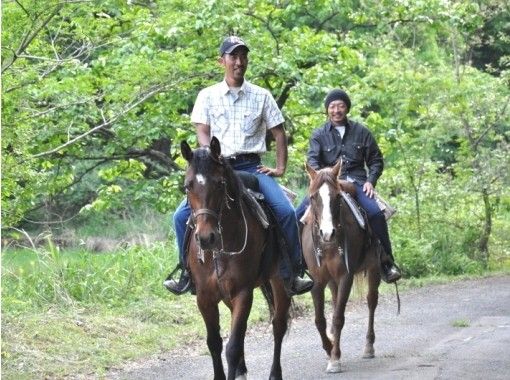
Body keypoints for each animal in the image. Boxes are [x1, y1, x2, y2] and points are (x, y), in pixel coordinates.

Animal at [180, 137, 290, 380]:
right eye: (188, 185)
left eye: (220, 183)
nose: (206, 238)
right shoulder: (204, 297)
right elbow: (214, 343)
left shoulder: (243, 293)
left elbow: (233, 347)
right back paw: (241, 370)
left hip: (279, 281)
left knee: (278, 325)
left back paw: (275, 373)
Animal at [300, 160, 380, 374]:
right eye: (313, 197)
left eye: (337, 196)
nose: (327, 233)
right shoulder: (318, 281)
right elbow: (320, 320)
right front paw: (330, 349)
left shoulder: (346, 276)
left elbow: (338, 318)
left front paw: (335, 359)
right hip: (332, 281)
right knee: (336, 302)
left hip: (374, 268)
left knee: (371, 301)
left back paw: (368, 347)